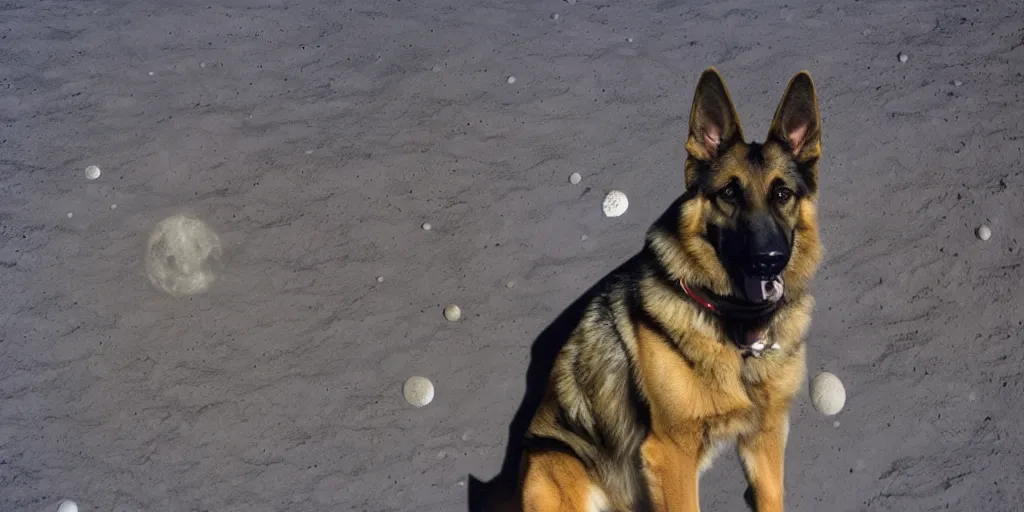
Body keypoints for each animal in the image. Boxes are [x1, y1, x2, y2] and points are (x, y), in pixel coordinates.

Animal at [520, 69, 823, 512]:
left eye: (782, 194)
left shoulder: (765, 434)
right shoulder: (670, 453)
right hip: (563, 467)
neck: (736, 331)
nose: (769, 261)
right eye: (729, 194)